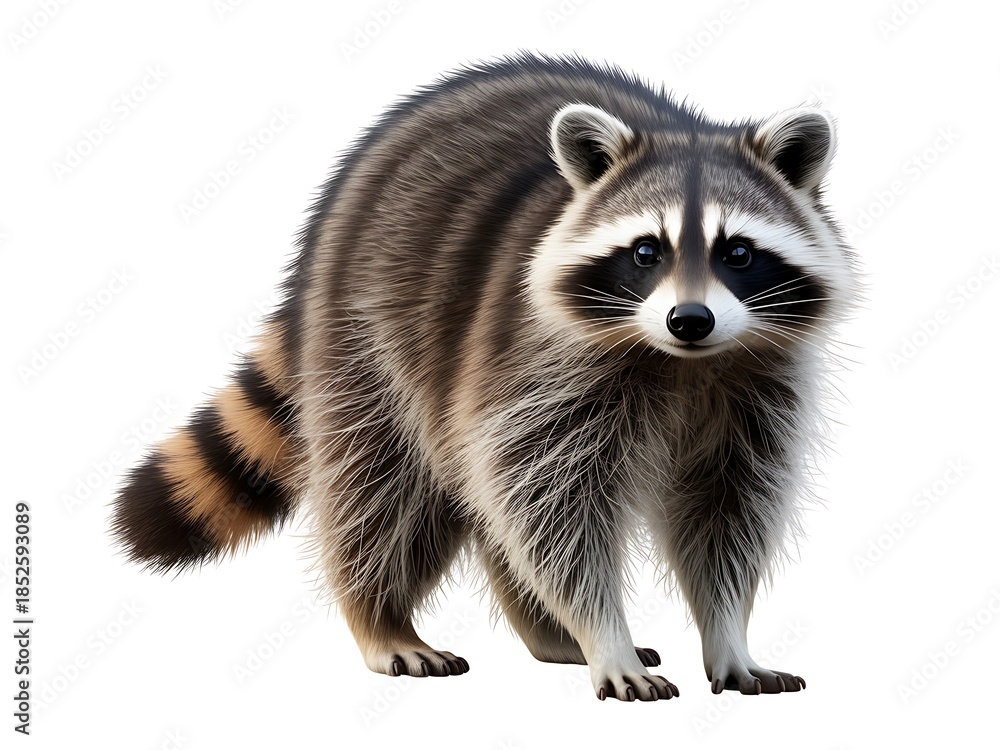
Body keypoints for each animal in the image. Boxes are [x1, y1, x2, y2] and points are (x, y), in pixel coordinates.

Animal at [111, 53, 856, 701]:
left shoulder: (760, 382)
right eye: (647, 251)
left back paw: (544, 630)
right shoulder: (538, 357)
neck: (680, 362)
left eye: (739, 253)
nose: (690, 319)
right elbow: (550, 504)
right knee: (384, 485)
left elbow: (727, 508)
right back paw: (381, 619)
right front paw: (604, 635)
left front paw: (727, 631)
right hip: (365, 331)